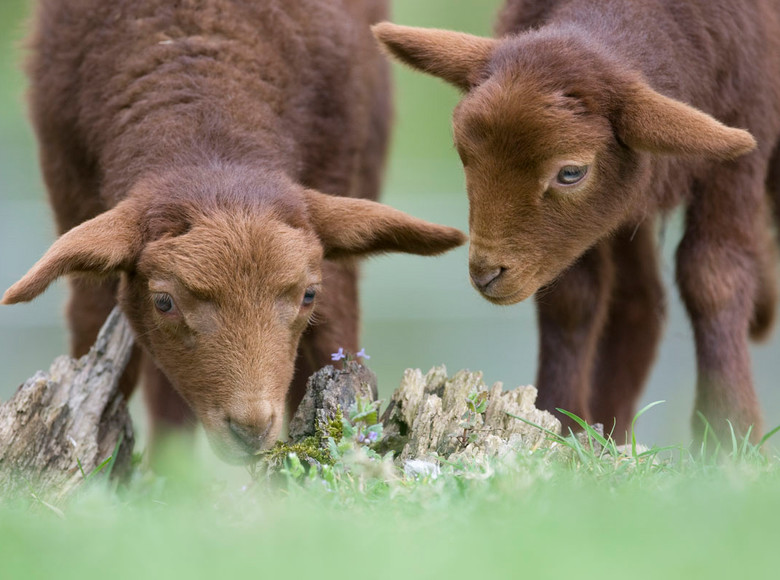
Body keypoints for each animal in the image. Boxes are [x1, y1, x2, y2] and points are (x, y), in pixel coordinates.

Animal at [3, 0, 466, 462]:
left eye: (308, 295)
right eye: (163, 302)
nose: (251, 429)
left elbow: (336, 343)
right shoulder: (69, 184)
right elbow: (96, 348)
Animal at [374, 1, 780, 444]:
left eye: (570, 173)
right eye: (462, 151)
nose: (485, 274)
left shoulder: (743, 145)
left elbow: (713, 278)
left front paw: (729, 432)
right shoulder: (583, 231)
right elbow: (573, 298)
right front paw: (557, 419)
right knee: (636, 301)